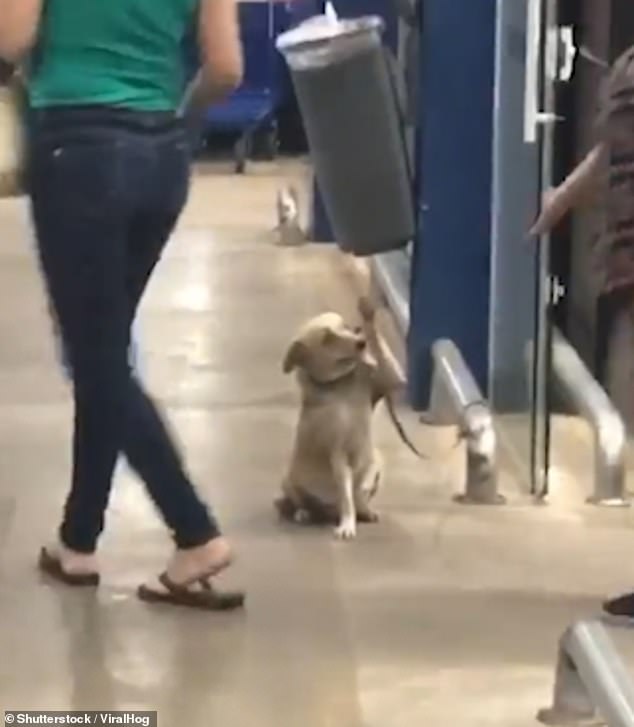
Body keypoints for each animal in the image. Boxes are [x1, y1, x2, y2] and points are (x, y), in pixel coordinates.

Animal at [274, 296, 402, 540]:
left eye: (346, 327)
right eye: (327, 338)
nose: (361, 341)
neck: (341, 383)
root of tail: (327, 511)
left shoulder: (389, 381)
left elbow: (390, 368)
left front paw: (368, 316)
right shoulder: (338, 456)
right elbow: (346, 497)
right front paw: (347, 524)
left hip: (378, 460)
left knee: (363, 493)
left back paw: (365, 510)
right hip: (288, 480)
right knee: (301, 501)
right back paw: (305, 512)